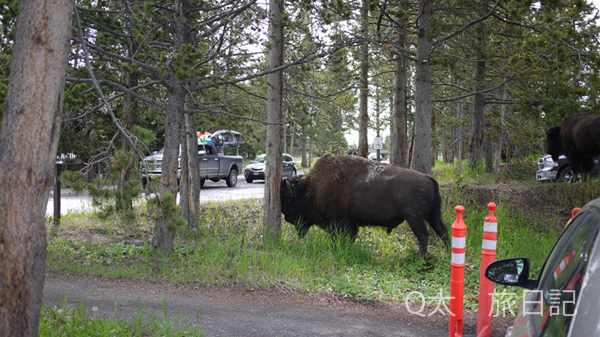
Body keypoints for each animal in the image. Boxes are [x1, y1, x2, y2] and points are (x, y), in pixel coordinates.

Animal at [282, 155, 450, 258]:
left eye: (289, 199)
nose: (286, 217)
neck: (312, 187)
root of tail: (429, 178)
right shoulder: (351, 223)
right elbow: (349, 238)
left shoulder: (339, 222)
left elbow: (339, 238)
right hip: (430, 216)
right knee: (442, 231)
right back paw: (448, 254)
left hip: (414, 217)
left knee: (423, 235)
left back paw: (420, 259)